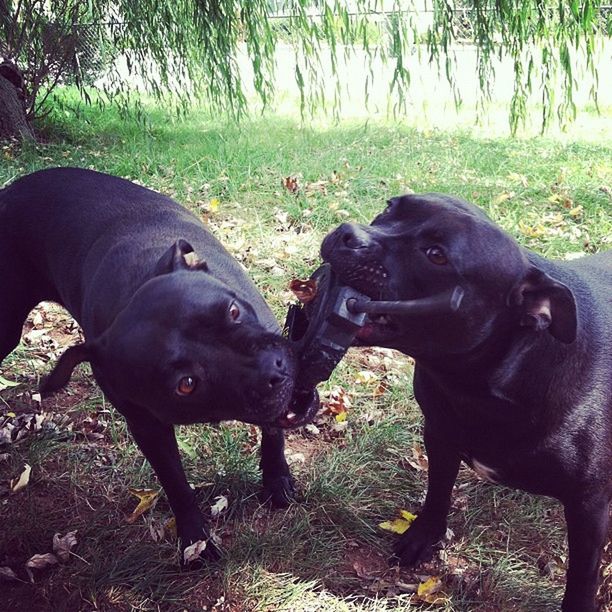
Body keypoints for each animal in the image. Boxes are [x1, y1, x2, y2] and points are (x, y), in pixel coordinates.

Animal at [0, 167, 316, 564]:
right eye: (186, 384)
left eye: (232, 311)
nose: (275, 370)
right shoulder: (149, 428)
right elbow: (176, 484)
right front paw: (194, 539)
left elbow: (273, 434)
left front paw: (276, 481)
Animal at [322, 195, 608, 612]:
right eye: (390, 208)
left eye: (436, 255)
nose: (347, 233)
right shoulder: (441, 433)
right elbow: (438, 489)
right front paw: (423, 535)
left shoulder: (588, 505)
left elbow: (582, 575)